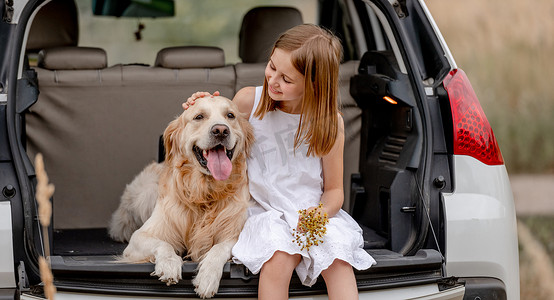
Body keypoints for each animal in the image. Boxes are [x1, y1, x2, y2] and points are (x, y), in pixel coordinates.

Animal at [107, 96, 252, 298]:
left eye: (230, 115)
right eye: (199, 116)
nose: (221, 130)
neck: (205, 193)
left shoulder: (236, 233)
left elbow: (219, 248)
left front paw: (207, 276)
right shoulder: (141, 237)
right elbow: (163, 244)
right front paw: (169, 264)